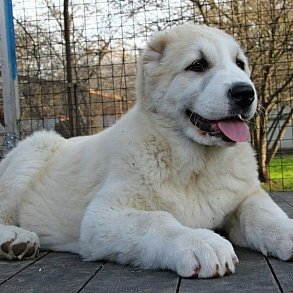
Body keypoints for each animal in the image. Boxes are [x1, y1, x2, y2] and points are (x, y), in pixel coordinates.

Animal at [0, 24, 292, 278]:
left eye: (240, 64)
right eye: (198, 65)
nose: (246, 93)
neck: (197, 165)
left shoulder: (246, 195)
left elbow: (264, 213)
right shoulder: (102, 218)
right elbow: (157, 220)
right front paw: (200, 242)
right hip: (36, 148)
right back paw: (17, 239)